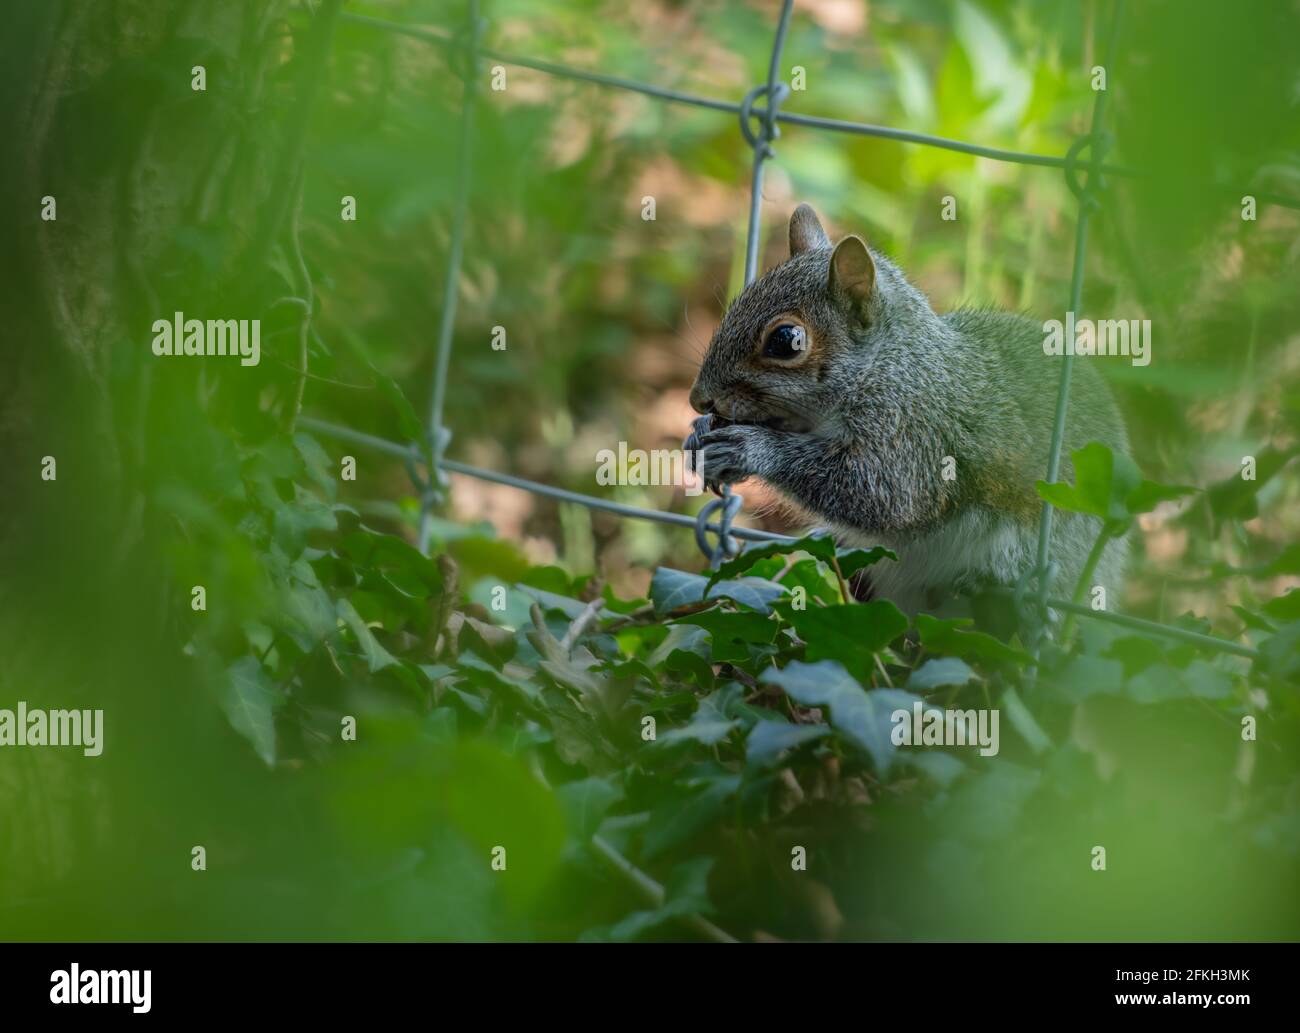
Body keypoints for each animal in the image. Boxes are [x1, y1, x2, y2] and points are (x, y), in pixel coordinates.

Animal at [691, 206, 1128, 618]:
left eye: (786, 340)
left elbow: (883, 494)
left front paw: (750, 448)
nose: (699, 399)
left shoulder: (915, 434)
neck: (888, 364)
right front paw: (698, 432)